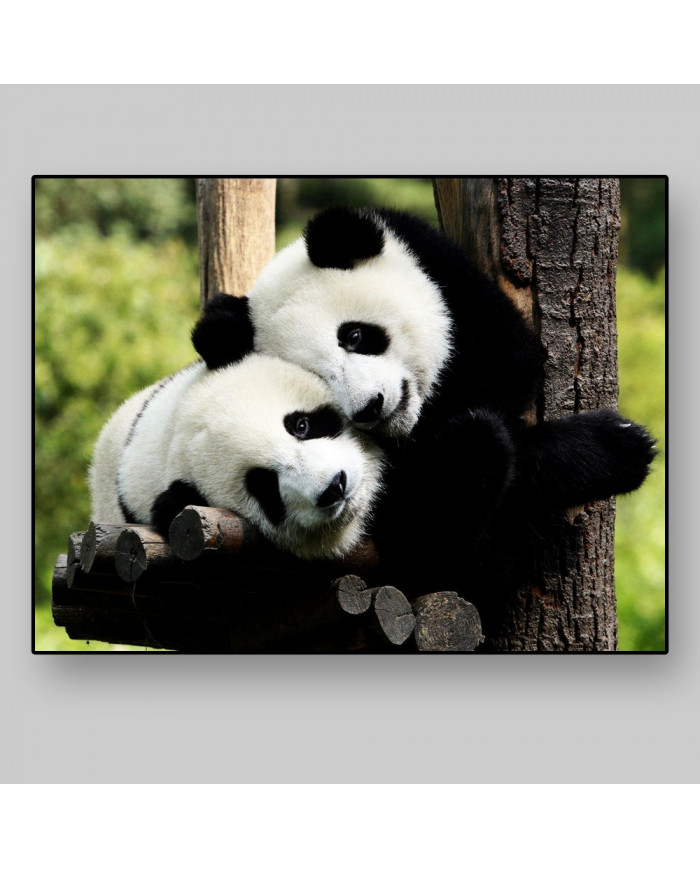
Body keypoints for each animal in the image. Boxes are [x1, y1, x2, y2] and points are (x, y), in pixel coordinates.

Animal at [190, 207, 656, 588]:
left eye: (354, 336)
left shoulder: (450, 282)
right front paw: (617, 447)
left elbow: (511, 365)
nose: (370, 407)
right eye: (319, 379)